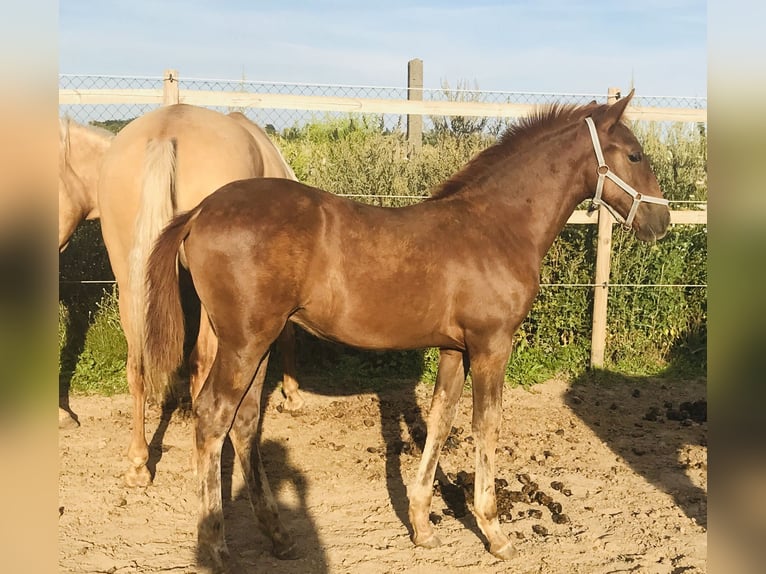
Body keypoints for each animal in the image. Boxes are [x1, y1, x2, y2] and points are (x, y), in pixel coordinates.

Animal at [98, 104, 306, 490]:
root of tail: (166, 132)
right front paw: (293, 396)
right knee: (201, 360)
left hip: (129, 279)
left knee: (136, 366)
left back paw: (138, 465)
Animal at [144, 91, 672, 568]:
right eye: (634, 154)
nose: (662, 220)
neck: (497, 227)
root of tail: (201, 211)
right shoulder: (491, 346)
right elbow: (486, 425)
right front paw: (495, 533)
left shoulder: (455, 350)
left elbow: (439, 421)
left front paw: (421, 525)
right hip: (246, 342)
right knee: (214, 415)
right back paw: (215, 547)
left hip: (254, 341)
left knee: (245, 421)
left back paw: (279, 537)